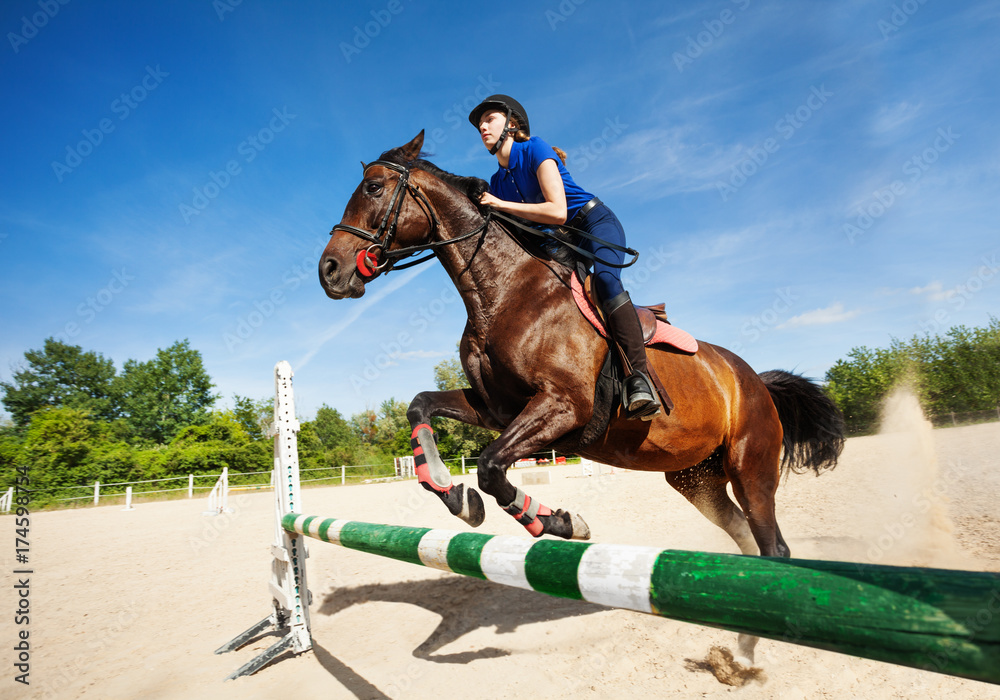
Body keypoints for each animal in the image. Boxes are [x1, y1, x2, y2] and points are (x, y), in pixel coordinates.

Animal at [318, 129, 844, 660]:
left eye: (374, 187)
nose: (330, 270)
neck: (501, 293)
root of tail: (753, 378)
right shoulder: (496, 409)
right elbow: (420, 406)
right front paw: (453, 493)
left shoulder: (563, 406)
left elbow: (490, 466)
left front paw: (561, 523)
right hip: (696, 479)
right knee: (746, 542)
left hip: (749, 464)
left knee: (774, 548)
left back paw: (743, 655)